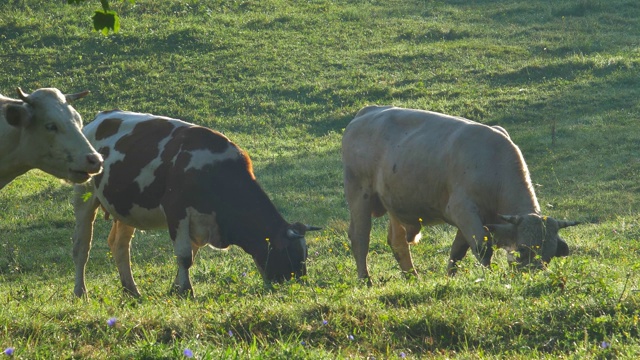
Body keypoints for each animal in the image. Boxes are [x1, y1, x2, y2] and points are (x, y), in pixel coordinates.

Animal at [72, 110, 320, 298]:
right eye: (290, 253)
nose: (298, 285)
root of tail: (100, 118)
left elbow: (191, 252)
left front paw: (175, 288)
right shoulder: (176, 211)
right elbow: (184, 255)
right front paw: (186, 291)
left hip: (126, 208)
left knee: (120, 246)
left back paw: (131, 290)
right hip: (85, 195)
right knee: (82, 248)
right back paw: (80, 292)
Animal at [342, 105, 584, 282]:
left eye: (549, 256)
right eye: (523, 250)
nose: (530, 277)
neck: (494, 164)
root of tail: (368, 111)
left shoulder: (471, 220)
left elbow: (458, 251)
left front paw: (450, 278)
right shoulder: (463, 211)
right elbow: (482, 248)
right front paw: (489, 278)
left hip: (396, 203)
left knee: (397, 242)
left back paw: (413, 278)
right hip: (359, 194)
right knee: (360, 237)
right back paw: (365, 280)